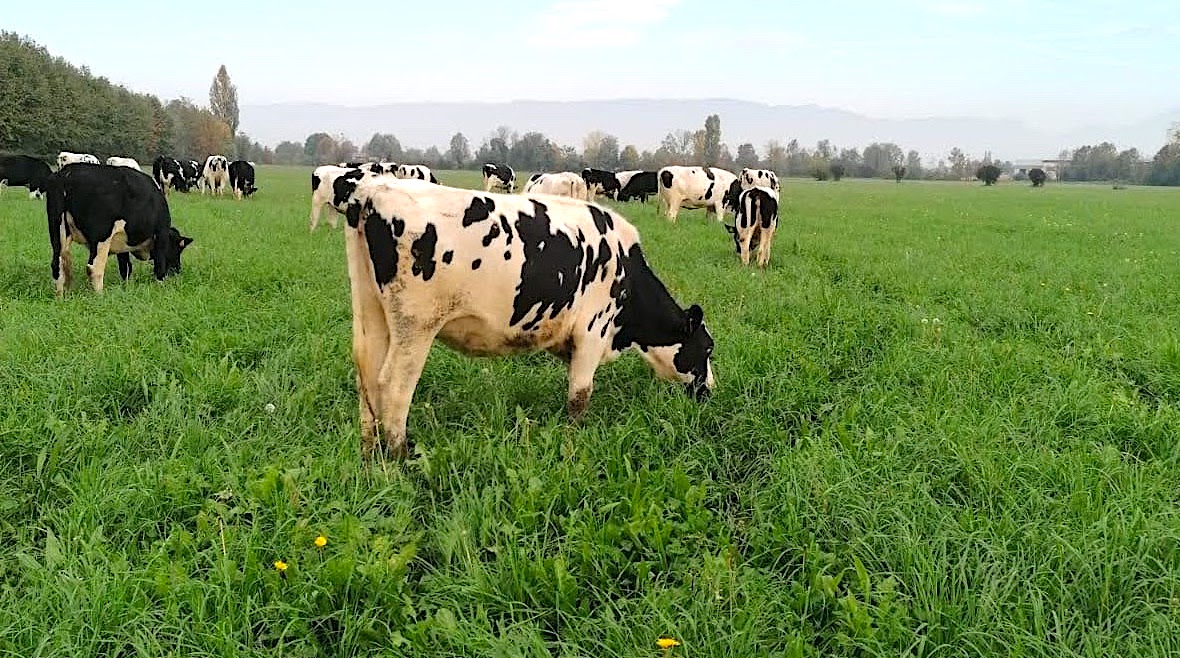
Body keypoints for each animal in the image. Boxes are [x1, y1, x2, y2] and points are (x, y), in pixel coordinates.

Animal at [46, 163, 192, 298]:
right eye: (179, 249)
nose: (178, 270)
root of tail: (66, 173)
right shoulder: (161, 233)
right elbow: (159, 265)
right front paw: (161, 286)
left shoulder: (122, 243)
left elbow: (125, 267)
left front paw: (126, 286)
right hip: (101, 236)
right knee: (94, 267)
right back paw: (100, 296)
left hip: (57, 232)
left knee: (57, 264)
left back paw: (60, 296)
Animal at [335, 178, 717, 462]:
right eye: (708, 349)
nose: (710, 390)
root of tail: (371, 193)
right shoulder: (593, 330)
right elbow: (580, 395)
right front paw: (573, 441)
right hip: (416, 325)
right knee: (394, 386)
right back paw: (399, 458)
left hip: (371, 313)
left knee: (366, 377)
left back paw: (370, 454)